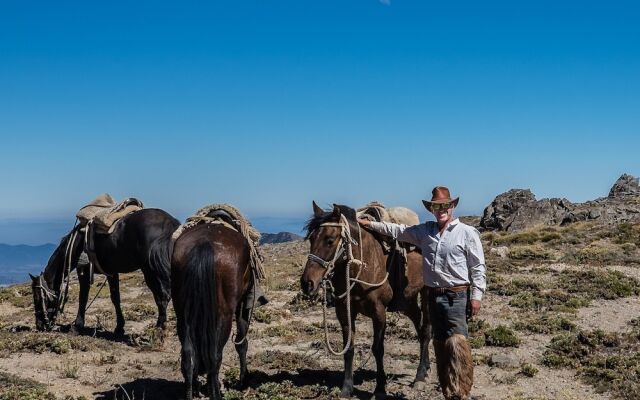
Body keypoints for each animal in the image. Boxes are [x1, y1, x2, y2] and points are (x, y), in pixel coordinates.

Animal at [30, 208, 180, 336]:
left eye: (38, 298)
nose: (40, 325)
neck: (76, 244)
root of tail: (170, 223)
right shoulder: (112, 272)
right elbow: (115, 298)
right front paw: (119, 327)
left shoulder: (83, 271)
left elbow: (83, 298)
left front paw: (77, 326)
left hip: (150, 271)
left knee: (162, 297)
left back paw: (159, 328)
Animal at [172, 219, 255, 400]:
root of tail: (204, 244)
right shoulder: (243, 302)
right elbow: (242, 342)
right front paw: (243, 381)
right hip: (224, 316)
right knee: (215, 356)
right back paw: (216, 393)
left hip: (182, 314)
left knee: (188, 355)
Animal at [302, 202, 432, 398]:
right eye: (311, 239)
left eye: (330, 240)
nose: (307, 283)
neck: (362, 267)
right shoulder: (344, 312)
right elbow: (349, 349)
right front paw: (347, 388)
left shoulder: (379, 312)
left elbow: (378, 349)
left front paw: (380, 389)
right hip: (407, 301)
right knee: (419, 325)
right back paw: (425, 369)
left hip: (426, 293)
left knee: (425, 330)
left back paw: (419, 375)